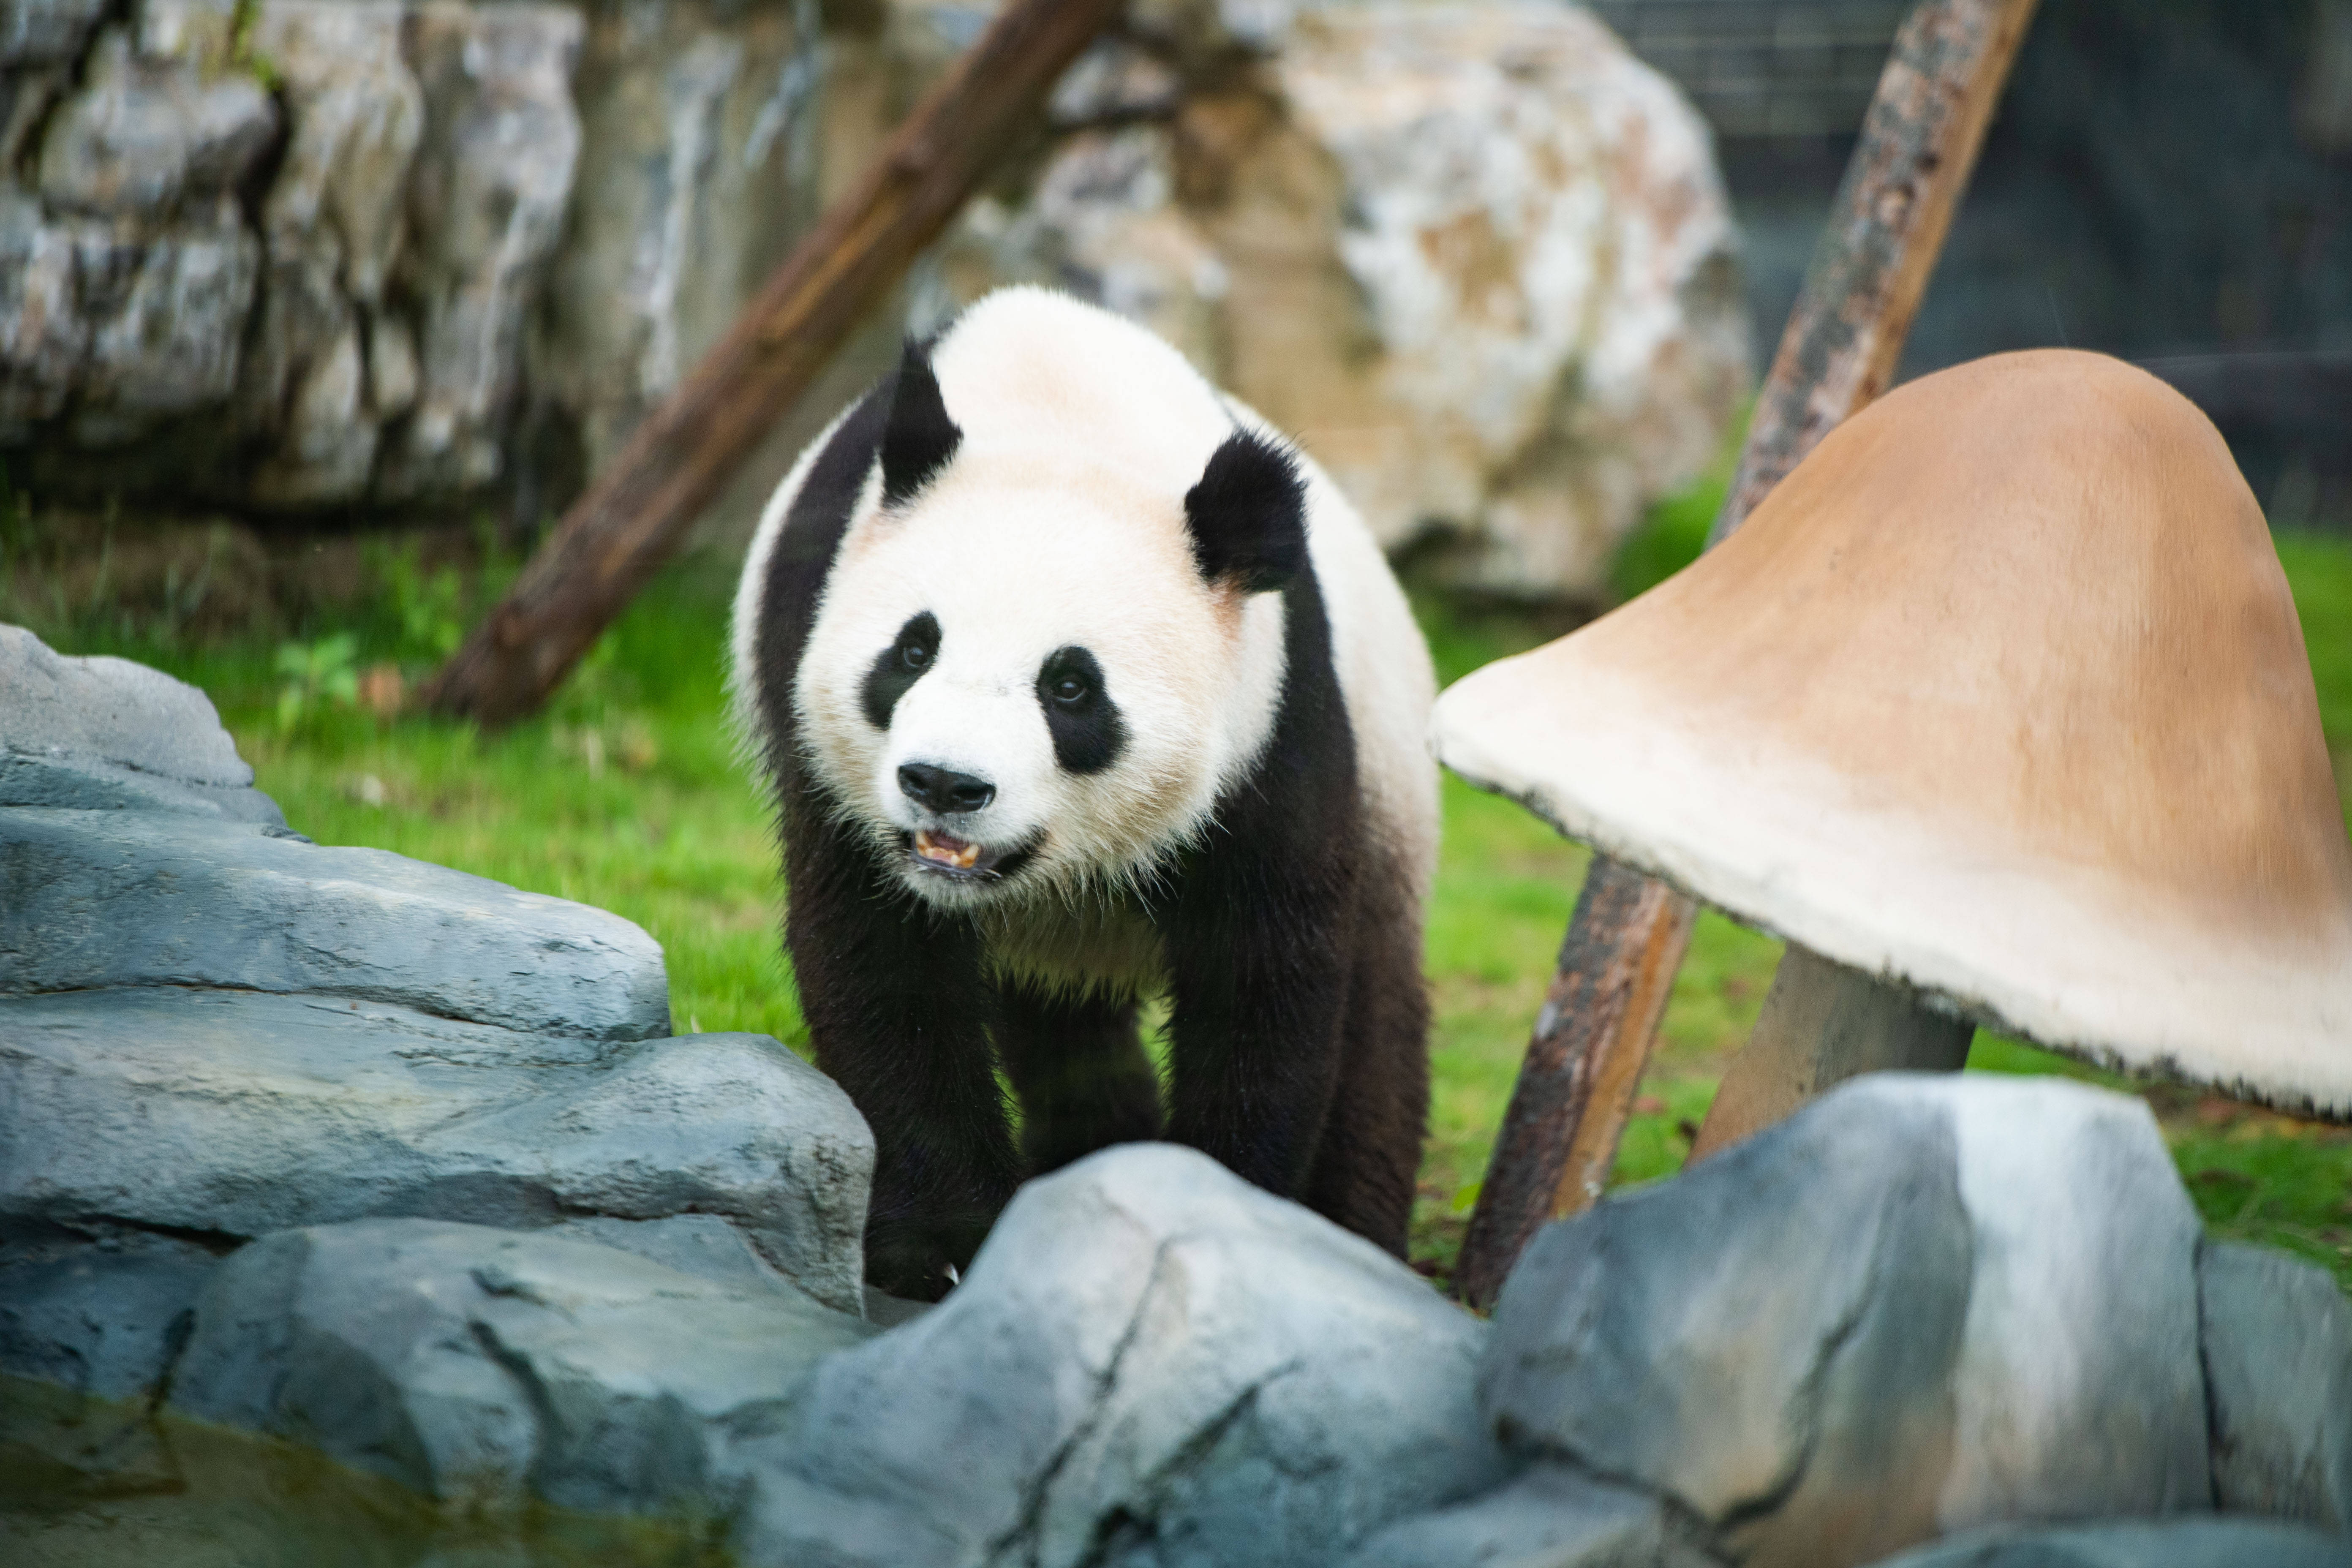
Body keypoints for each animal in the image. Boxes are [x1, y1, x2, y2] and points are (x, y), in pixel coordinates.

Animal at [724, 291, 1439, 1298]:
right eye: (912, 649)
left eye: (1070, 687)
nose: (944, 784)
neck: (1062, 412)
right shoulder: (817, 699)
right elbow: (881, 964)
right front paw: (946, 1245)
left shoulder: (1274, 719)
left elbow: (1267, 972)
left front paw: (1221, 1203)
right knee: (1062, 1030)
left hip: (1390, 765)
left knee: (1378, 1015)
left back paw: (1352, 1228)